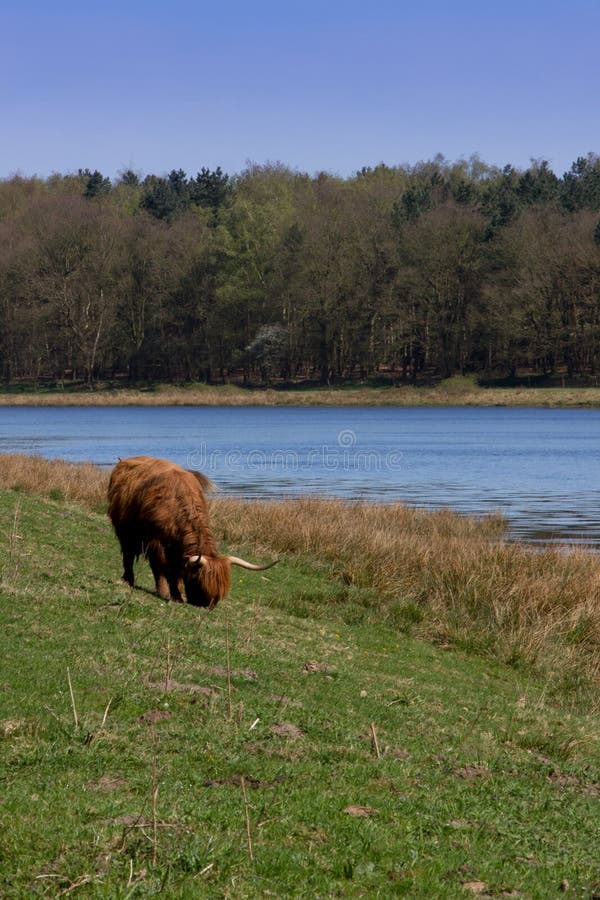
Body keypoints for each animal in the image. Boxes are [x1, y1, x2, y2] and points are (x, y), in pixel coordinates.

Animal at [107, 455, 276, 609]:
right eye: (199, 583)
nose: (206, 605)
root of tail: (125, 462)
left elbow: (176, 571)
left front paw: (177, 593)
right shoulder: (156, 542)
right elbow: (162, 569)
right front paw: (168, 593)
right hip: (124, 531)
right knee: (128, 556)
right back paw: (128, 580)